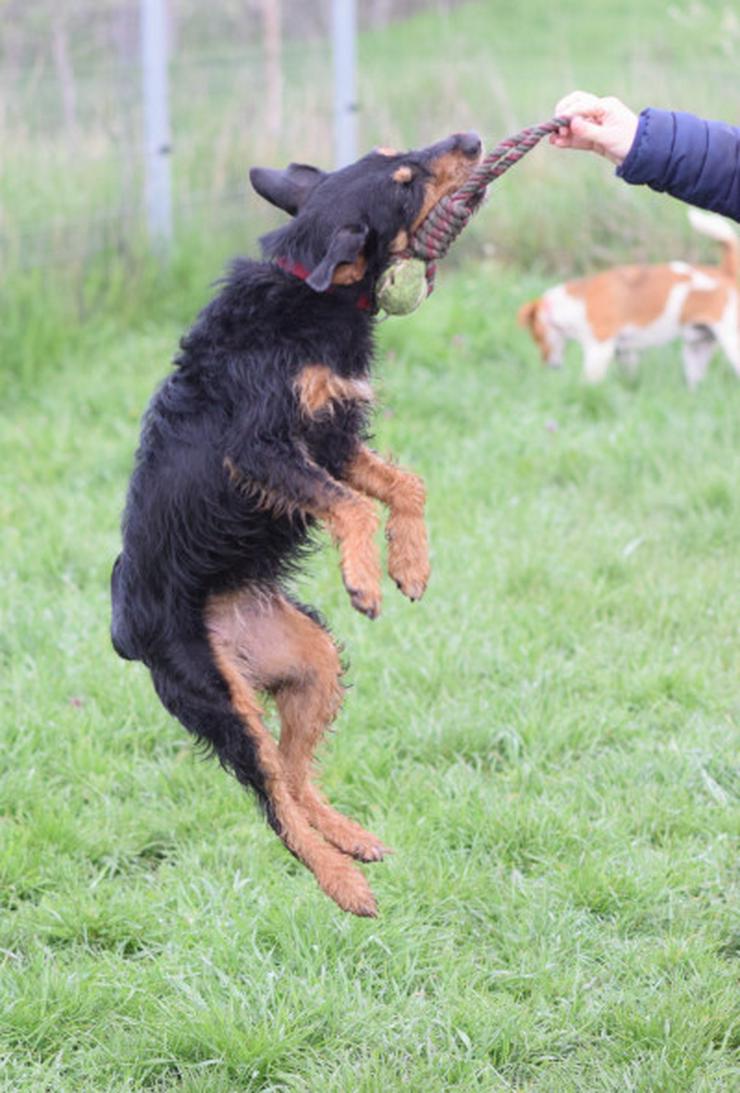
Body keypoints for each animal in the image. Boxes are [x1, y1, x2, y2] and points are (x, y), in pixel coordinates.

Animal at [108, 130, 478, 913]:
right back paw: (342, 882)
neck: (312, 288)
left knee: (295, 771)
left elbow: (405, 485)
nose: (469, 140)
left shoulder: (332, 438)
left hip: (313, 664)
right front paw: (365, 579)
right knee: (274, 800)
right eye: (404, 180)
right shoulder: (262, 450)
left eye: (395, 154)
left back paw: (351, 838)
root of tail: (127, 630)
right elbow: (352, 505)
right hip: (218, 698)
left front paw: (410, 564)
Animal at [515, 208, 738, 389]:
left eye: (536, 337)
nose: (549, 366)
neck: (572, 304)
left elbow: (588, 381)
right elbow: (628, 377)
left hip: (730, 340)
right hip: (697, 347)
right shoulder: (623, 351)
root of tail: (725, 274)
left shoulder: (600, 348)